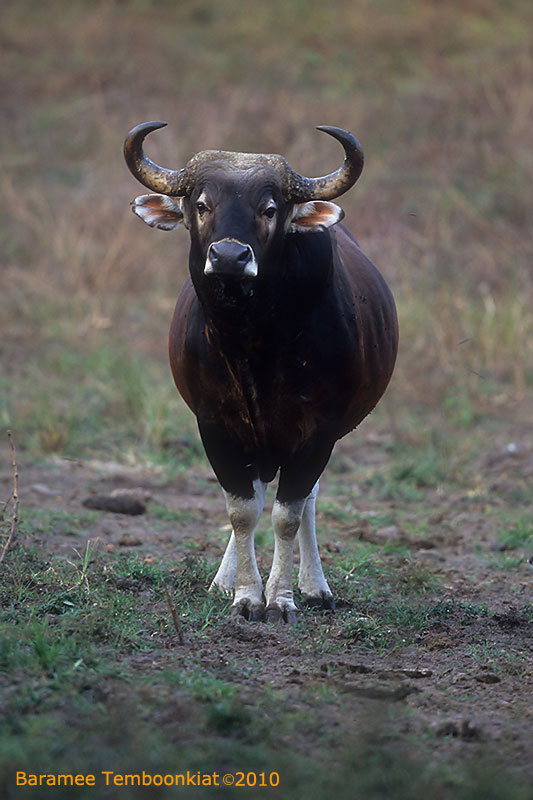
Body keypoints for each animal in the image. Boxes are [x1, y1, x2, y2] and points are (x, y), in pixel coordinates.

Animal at [123, 119, 394, 620]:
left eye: (270, 209)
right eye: (202, 204)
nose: (230, 256)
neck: (253, 348)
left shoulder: (318, 431)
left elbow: (288, 515)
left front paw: (281, 598)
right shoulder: (214, 424)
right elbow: (241, 509)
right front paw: (246, 596)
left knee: (306, 500)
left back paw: (314, 586)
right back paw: (224, 580)